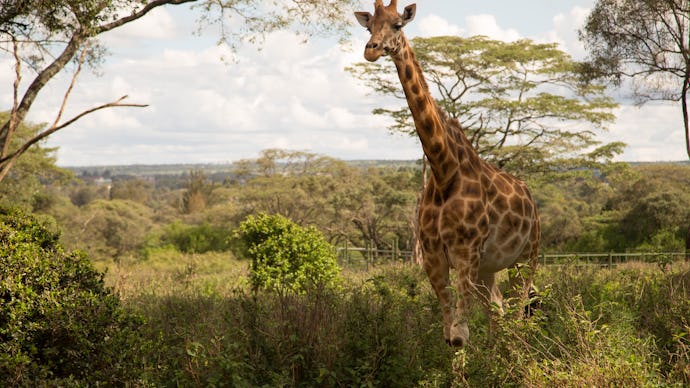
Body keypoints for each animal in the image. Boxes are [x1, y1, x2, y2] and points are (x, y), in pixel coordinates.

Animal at [352, 0, 540, 346]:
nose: (371, 50)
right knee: (498, 310)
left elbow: (459, 336)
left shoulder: (465, 253)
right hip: (489, 267)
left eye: (397, 25)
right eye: (369, 26)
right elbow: (449, 334)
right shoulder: (433, 257)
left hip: (527, 256)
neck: (443, 171)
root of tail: (531, 199)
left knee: (519, 313)